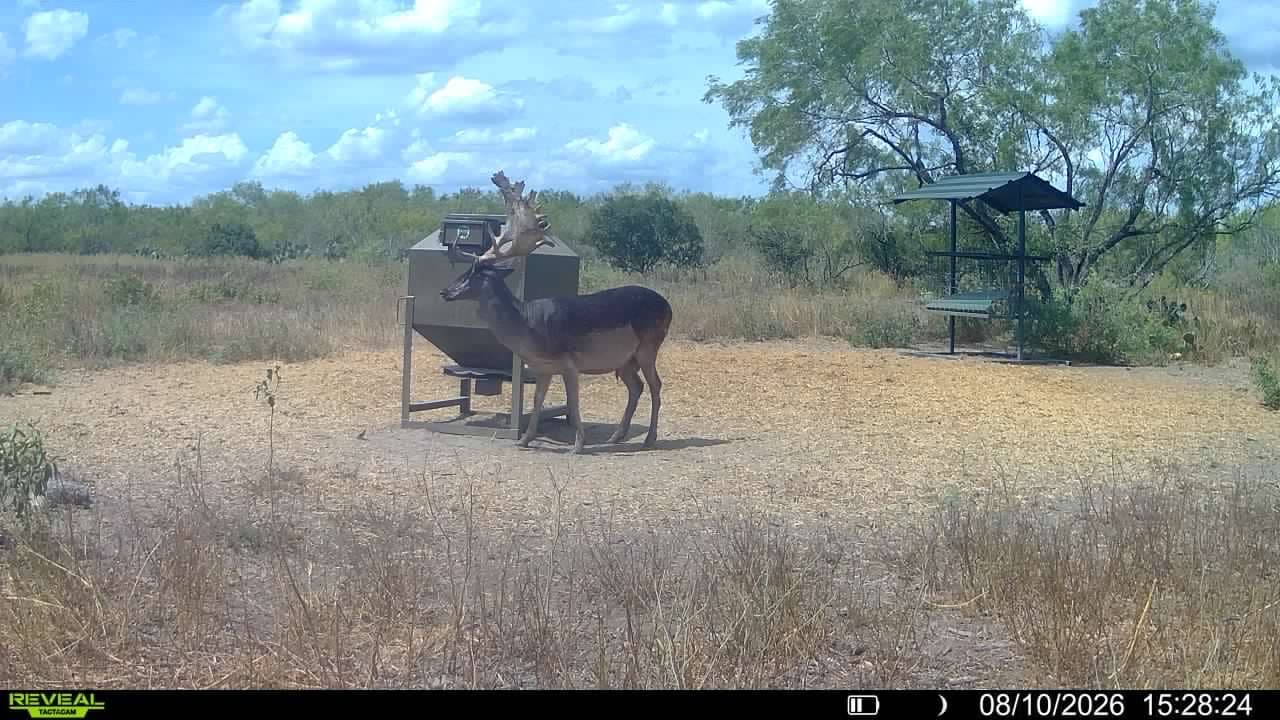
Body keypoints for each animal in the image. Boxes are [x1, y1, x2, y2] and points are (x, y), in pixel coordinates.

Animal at [439, 171, 673, 454]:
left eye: (472, 273)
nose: (445, 291)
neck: (528, 327)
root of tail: (668, 306)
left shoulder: (569, 362)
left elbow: (573, 402)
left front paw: (578, 445)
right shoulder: (543, 366)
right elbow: (537, 401)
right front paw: (524, 439)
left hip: (649, 346)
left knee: (655, 385)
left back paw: (649, 438)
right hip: (625, 359)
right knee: (636, 386)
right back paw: (616, 437)